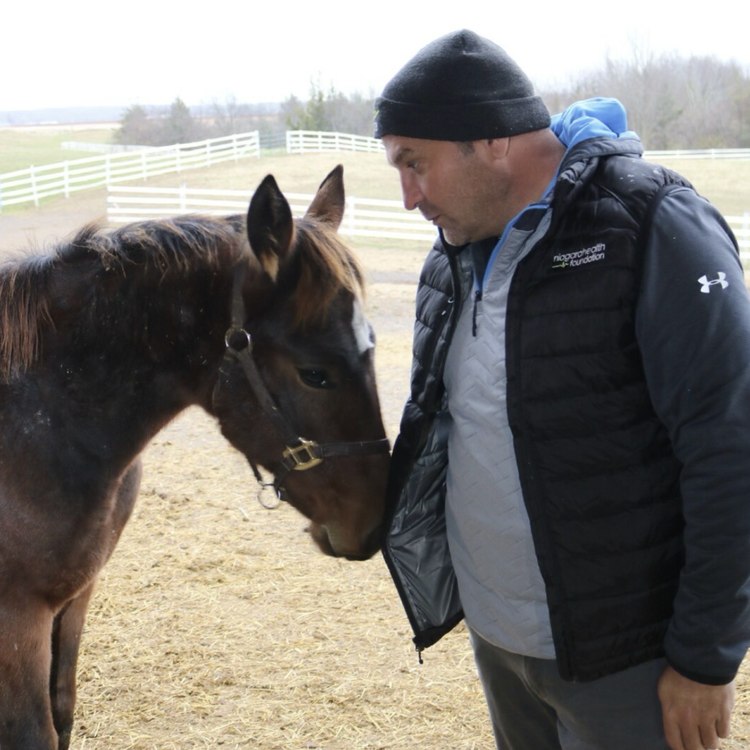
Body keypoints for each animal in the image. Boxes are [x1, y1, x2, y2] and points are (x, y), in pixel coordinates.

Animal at [0, 165, 390, 749]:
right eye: (315, 373)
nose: (373, 525)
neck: (38, 420)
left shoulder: (74, 599)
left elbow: (63, 711)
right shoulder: (18, 623)